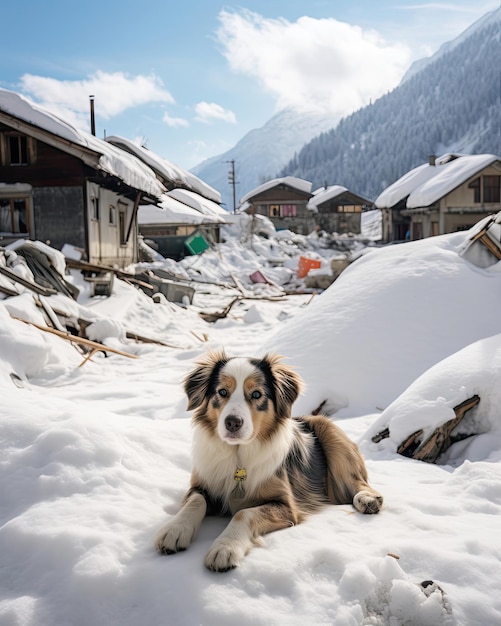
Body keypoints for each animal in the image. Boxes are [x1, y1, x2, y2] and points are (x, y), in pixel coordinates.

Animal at [154, 352, 380, 572]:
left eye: (256, 394)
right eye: (222, 392)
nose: (233, 423)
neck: (238, 456)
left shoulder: (286, 505)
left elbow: (243, 513)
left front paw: (225, 547)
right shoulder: (200, 484)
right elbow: (195, 502)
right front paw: (174, 530)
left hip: (329, 431)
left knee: (359, 482)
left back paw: (367, 499)